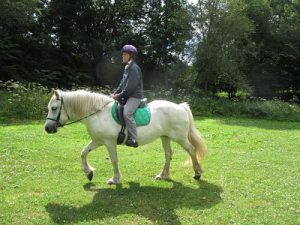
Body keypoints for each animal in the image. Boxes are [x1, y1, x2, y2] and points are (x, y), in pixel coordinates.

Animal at [45, 89, 206, 185]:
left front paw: (115, 179)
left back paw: (197, 173)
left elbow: (114, 160)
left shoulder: (109, 142)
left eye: (54, 108)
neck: (98, 113)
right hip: (165, 137)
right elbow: (83, 152)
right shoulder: (98, 141)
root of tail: (180, 107)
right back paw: (163, 175)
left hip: (180, 138)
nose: (47, 128)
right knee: (168, 154)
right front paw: (89, 172)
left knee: (191, 150)